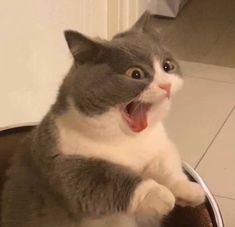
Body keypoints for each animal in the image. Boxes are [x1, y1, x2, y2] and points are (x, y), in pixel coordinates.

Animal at [0, 11, 205, 227]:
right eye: (135, 73)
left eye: (167, 66)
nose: (166, 85)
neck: (127, 140)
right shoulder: (58, 163)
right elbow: (103, 178)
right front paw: (159, 194)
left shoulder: (158, 145)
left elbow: (166, 163)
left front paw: (189, 191)